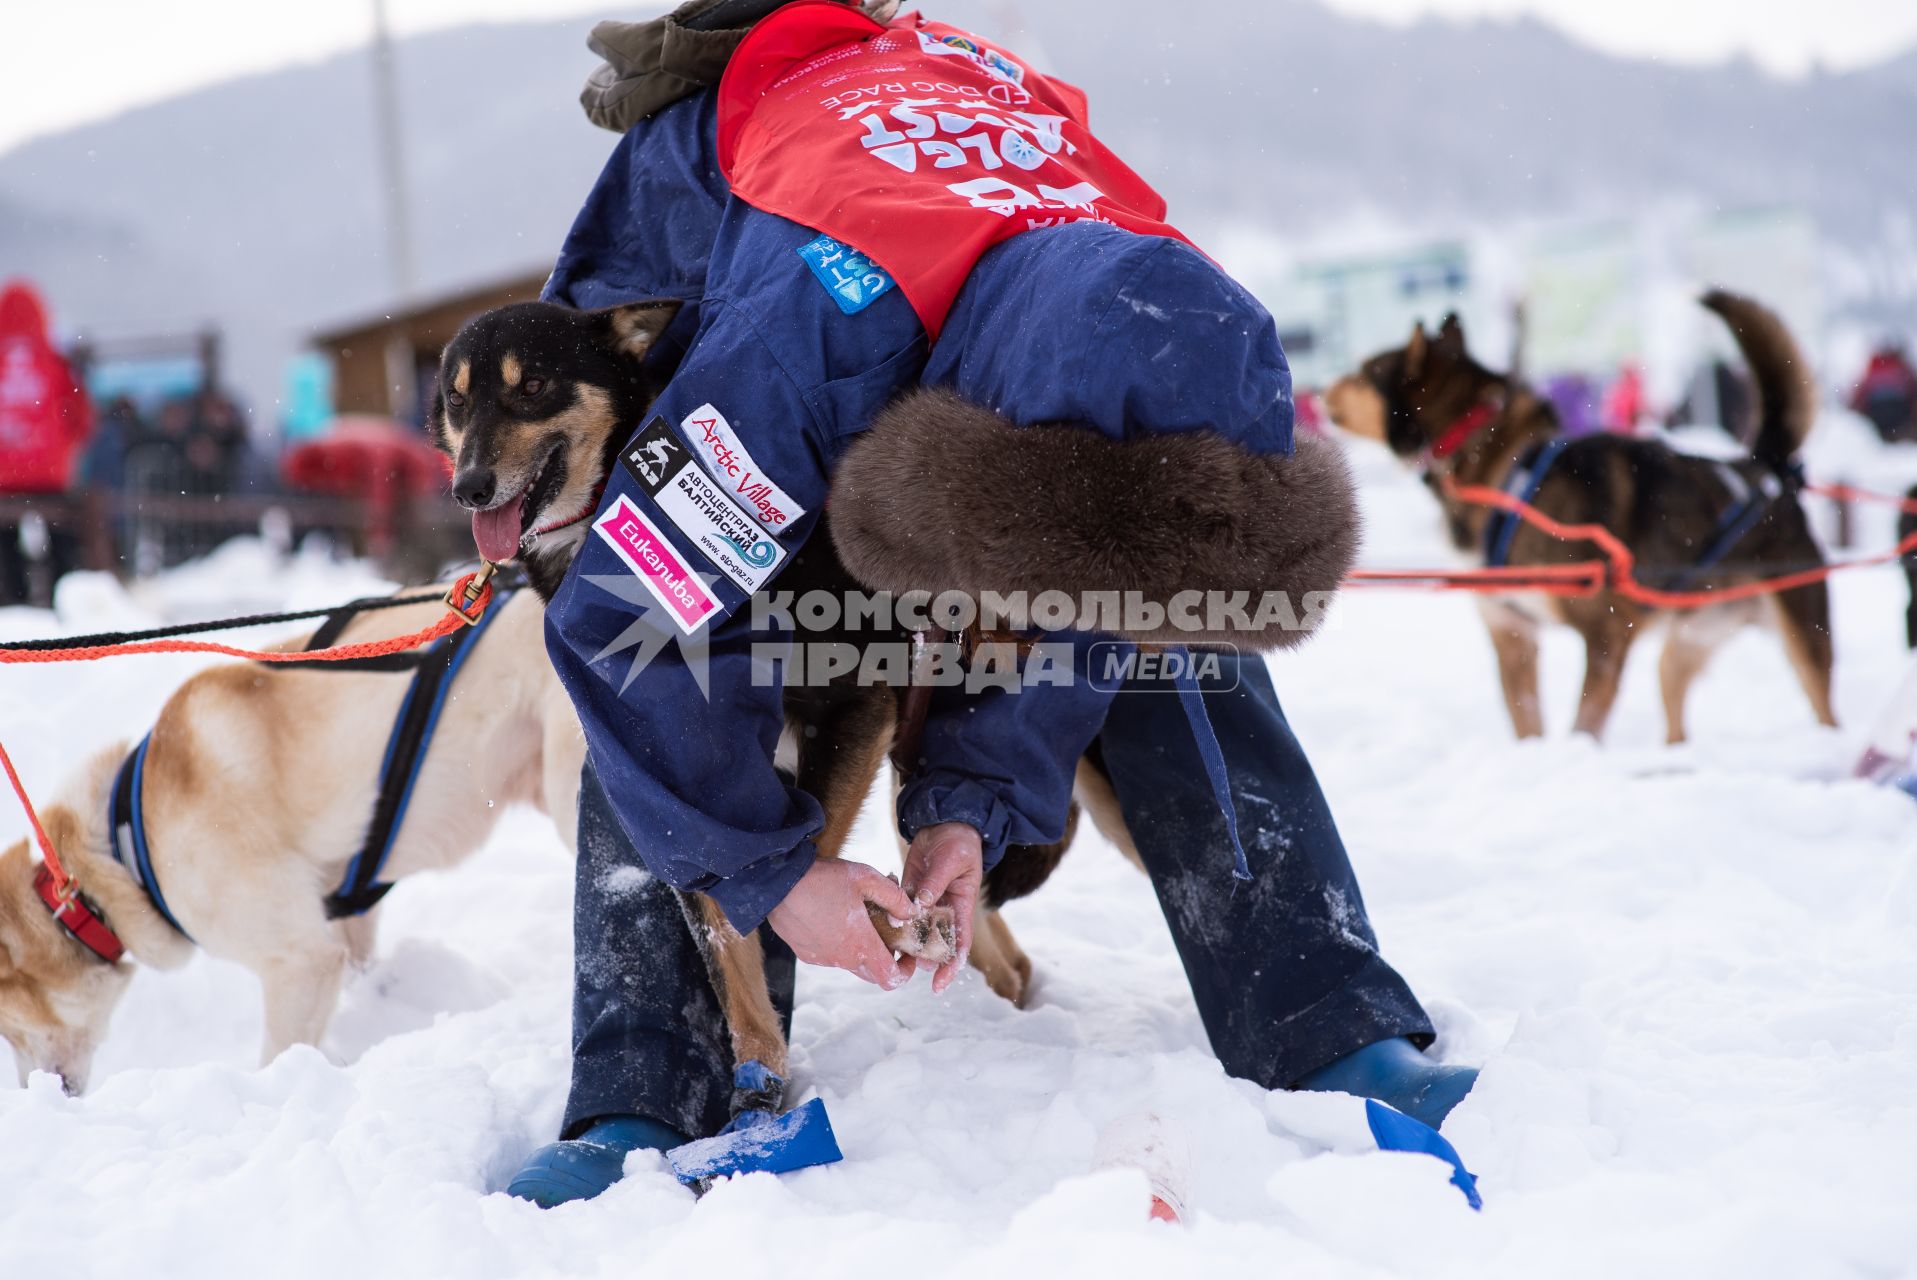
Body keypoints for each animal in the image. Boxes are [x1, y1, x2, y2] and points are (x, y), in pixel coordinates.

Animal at [435, 295, 1364, 1073]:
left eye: (533, 386)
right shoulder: (679, 767)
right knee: (997, 939)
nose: (468, 485)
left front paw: (875, 931)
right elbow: (725, 902)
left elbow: (800, 873)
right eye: (455, 401)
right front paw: (759, 1072)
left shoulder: (849, 708)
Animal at [1326, 291, 1832, 743]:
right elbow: (1527, 723)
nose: (1315, 388)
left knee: (1825, 707)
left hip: (1804, 637)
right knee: (1676, 715)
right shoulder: (1513, 635)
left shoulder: (1606, 632)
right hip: (1685, 647)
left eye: (1363, 374)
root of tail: (1766, 471)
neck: (1500, 471)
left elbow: (1583, 725)